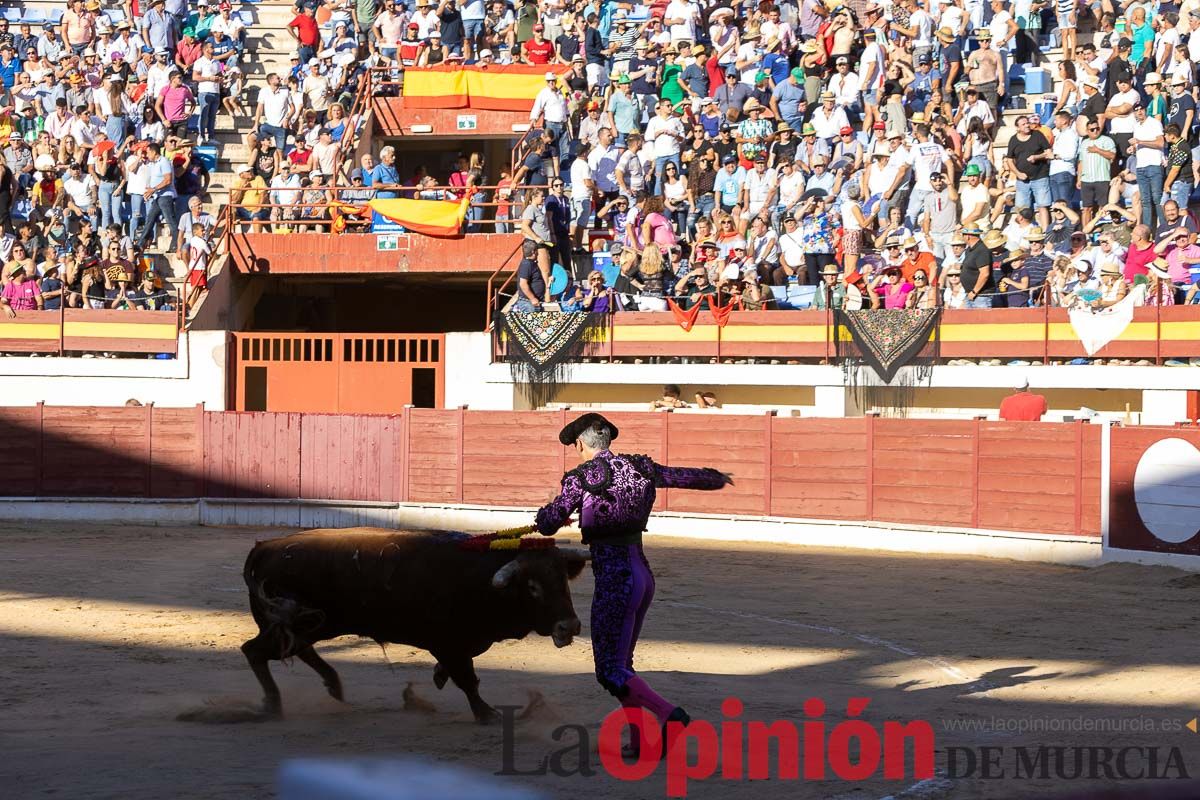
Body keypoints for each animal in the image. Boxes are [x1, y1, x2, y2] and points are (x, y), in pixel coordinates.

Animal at [241, 527, 588, 724]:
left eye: (563, 580)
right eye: (532, 587)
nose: (569, 626)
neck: (482, 580)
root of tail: (262, 547)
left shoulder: (461, 644)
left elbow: (459, 670)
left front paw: (438, 677)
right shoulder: (449, 643)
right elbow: (468, 680)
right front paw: (486, 713)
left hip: (312, 624)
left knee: (296, 650)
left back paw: (333, 687)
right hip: (299, 623)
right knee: (254, 651)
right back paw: (273, 706)